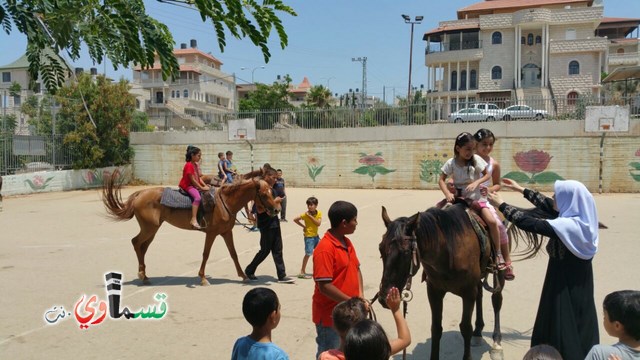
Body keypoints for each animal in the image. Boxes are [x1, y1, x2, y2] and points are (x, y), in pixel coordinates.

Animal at [102, 169, 278, 286]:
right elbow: (206, 254)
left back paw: (144, 276)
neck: (225, 202)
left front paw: (244, 276)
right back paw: (141, 275)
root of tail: (140, 194)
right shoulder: (211, 233)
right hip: (149, 229)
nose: (276, 210)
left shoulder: (226, 232)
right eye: (264, 194)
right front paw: (203, 278)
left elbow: (233, 254)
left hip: (152, 230)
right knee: (136, 242)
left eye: (272, 191)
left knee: (142, 247)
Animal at [380, 205, 524, 360]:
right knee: (480, 293)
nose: (383, 298)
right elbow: (436, 328)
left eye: (406, 252)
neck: (448, 250)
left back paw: (496, 343)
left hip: (499, 270)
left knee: (496, 300)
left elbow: (465, 328)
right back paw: (478, 332)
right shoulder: (434, 291)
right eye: (380, 248)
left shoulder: (468, 292)